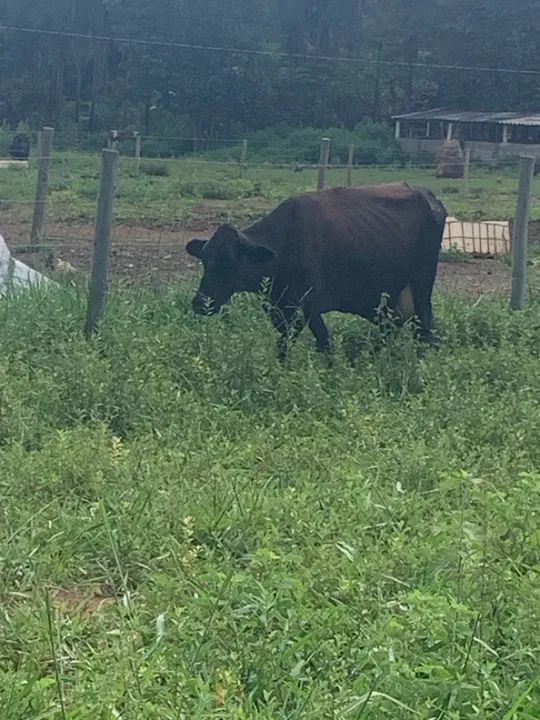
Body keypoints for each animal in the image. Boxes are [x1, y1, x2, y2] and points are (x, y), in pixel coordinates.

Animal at [186, 183, 447, 359]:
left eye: (230, 263)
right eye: (205, 259)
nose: (200, 303)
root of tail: (429, 196)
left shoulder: (308, 306)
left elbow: (323, 344)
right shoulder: (279, 308)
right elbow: (284, 344)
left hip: (422, 286)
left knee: (424, 328)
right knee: (391, 329)